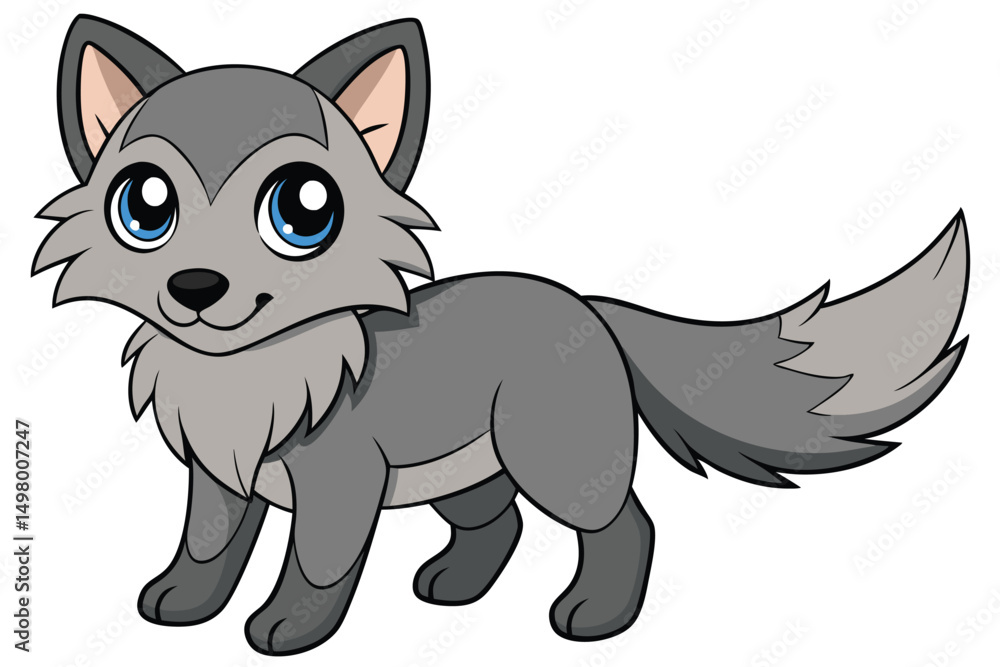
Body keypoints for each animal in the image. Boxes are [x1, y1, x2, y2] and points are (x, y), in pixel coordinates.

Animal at [32, 15, 969, 655]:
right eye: (145, 205)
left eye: (303, 209)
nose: (196, 288)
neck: (249, 379)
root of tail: (584, 304)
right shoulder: (220, 477)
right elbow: (206, 548)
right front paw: (181, 603)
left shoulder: (340, 486)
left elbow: (318, 566)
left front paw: (288, 628)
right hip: (466, 470)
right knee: (499, 525)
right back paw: (453, 587)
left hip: (553, 459)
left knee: (625, 523)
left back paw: (596, 617)